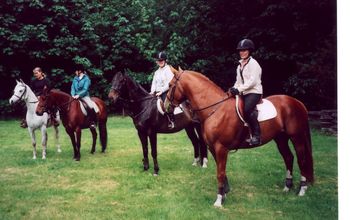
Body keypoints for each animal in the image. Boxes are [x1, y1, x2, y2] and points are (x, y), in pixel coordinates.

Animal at [164, 69, 314, 207]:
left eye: (170, 85)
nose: (166, 108)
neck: (216, 109)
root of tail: (297, 102)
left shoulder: (221, 148)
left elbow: (220, 173)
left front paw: (219, 200)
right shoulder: (213, 148)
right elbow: (222, 171)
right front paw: (224, 193)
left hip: (296, 137)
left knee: (301, 159)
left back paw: (302, 189)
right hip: (280, 138)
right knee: (288, 157)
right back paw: (287, 187)